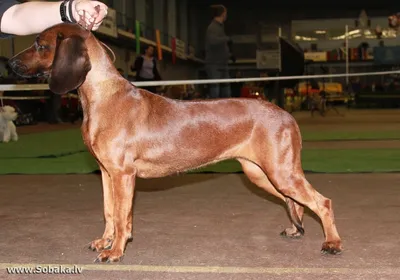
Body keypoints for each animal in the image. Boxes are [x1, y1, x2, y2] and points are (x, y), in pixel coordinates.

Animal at [7, 22, 342, 262]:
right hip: (260, 173)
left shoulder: (123, 175)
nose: (9, 63)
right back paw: (297, 229)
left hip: (280, 172)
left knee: (321, 202)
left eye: (40, 44)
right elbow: (108, 211)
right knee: (294, 201)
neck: (104, 96)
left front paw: (115, 251)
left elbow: (122, 216)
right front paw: (105, 241)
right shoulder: (105, 173)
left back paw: (332, 243)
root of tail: (286, 114)